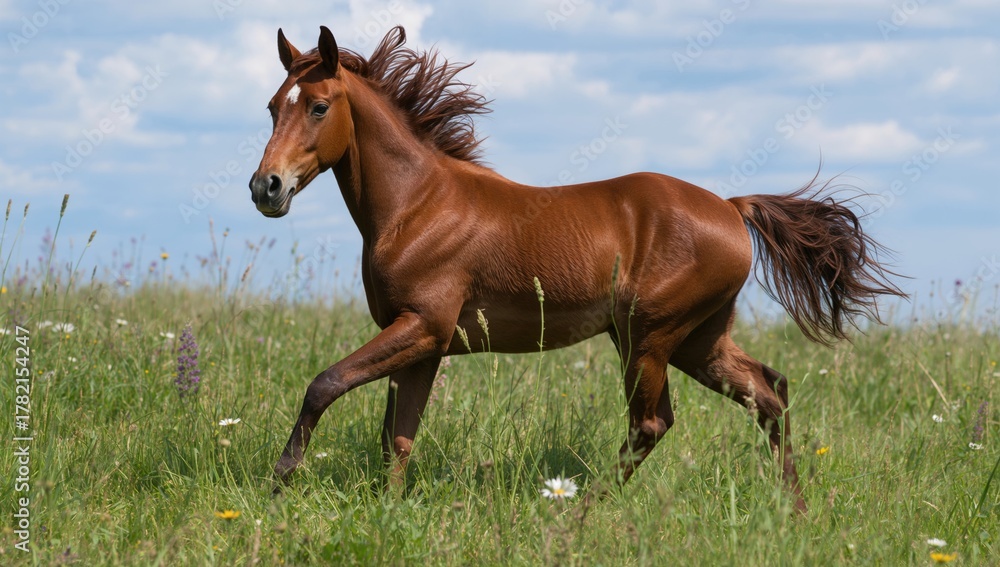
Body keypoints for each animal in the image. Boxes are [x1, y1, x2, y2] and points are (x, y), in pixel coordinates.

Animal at [249, 26, 904, 512]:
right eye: (271, 107)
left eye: (319, 106)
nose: (266, 187)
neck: (419, 205)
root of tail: (730, 207)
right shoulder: (424, 342)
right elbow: (398, 435)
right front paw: (387, 509)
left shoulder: (422, 327)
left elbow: (324, 384)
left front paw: (280, 483)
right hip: (698, 340)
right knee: (768, 392)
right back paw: (794, 510)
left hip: (648, 337)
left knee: (652, 423)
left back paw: (580, 510)